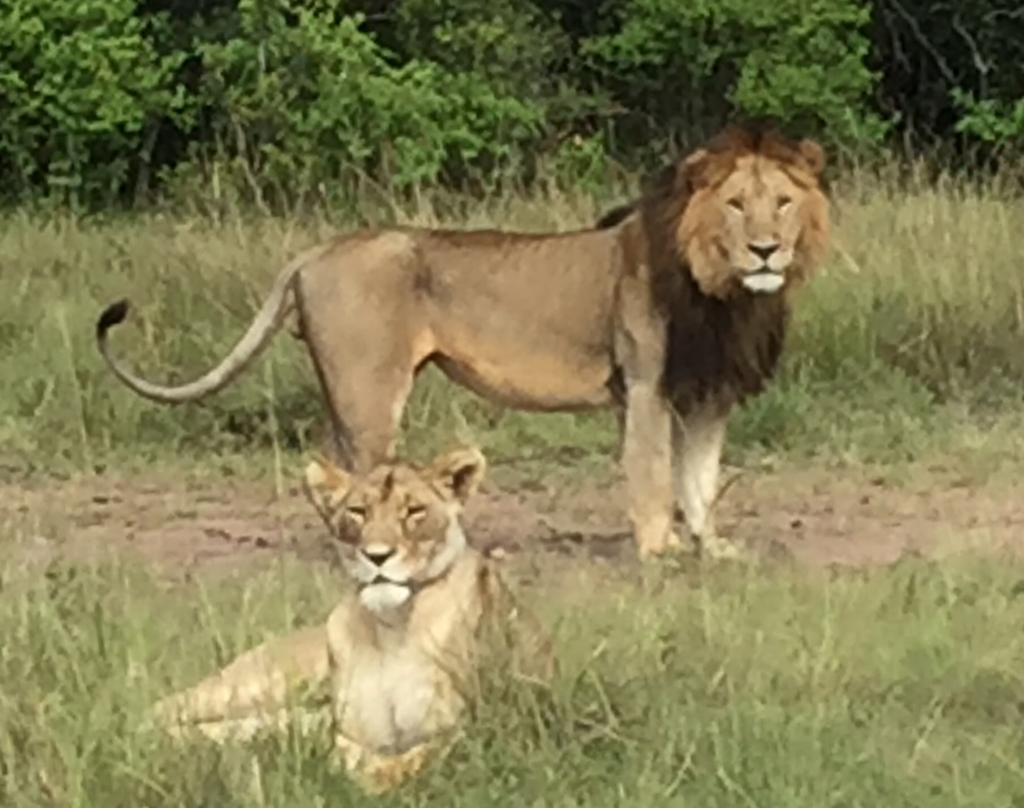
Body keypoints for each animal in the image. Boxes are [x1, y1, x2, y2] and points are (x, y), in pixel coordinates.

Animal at [97, 125, 831, 559]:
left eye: (782, 202)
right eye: (735, 205)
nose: (766, 249)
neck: (730, 294)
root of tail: (316, 249)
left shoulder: (709, 392)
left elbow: (699, 475)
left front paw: (713, 546)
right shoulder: (646, 385)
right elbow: (653, 474)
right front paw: (660, 549)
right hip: (370, 390)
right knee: (359, 476)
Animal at [149, 446, 552, 794]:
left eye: (414, 511)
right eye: (358, 511)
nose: (377, 556)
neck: (391, 627)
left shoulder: (472, 724)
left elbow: (416, 759)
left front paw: (377, 779)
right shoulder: (347, 733)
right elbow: (346, 757)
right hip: (255, 685)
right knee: (159, 710)